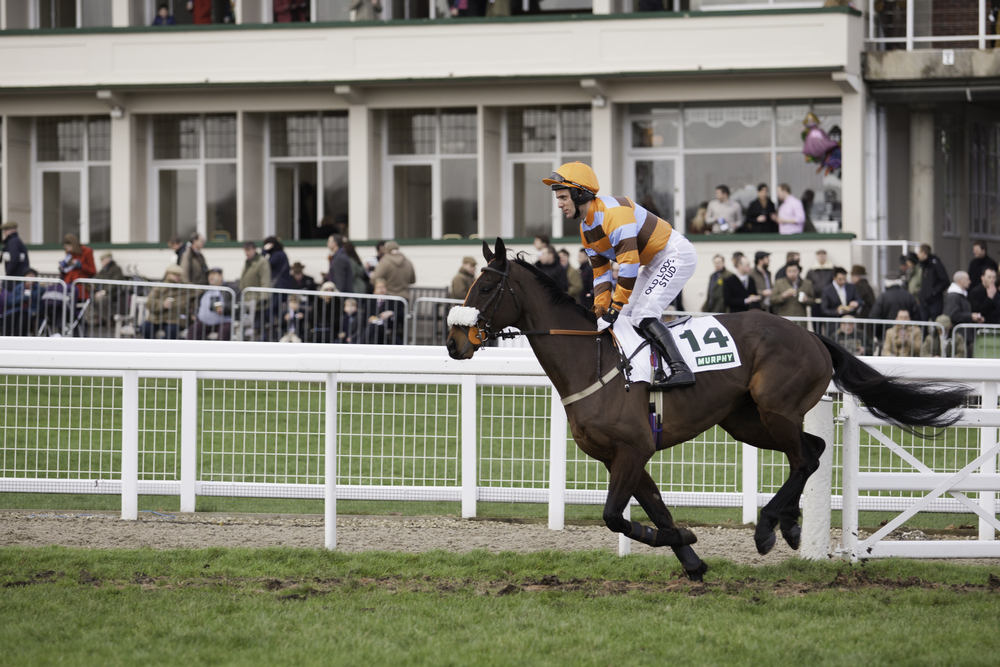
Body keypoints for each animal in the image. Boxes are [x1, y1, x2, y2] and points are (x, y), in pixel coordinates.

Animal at [446, 240, 968, 580]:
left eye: (486, 287)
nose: (454, 342)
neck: (591, 361)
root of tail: (812, 335)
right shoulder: (625, 457)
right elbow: (657, 510)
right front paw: (692, 559)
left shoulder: (633, 450)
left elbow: (615, 516)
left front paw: (688, 543)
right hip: (746, 420)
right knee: (813, 449)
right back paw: (791, 524)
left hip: (776, 408)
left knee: (804, 456)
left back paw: (768, 528)